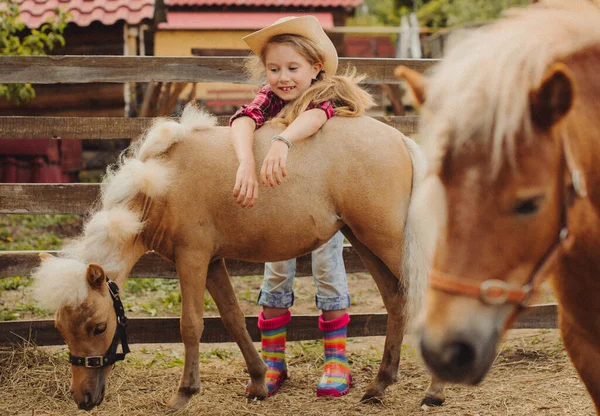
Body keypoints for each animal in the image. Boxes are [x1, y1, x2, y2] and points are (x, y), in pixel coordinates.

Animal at [31, 105, 446, 412]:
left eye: (99, 327)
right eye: (60, 328)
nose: (83, 398)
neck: (162, 184)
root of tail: (399, 138)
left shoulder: (192, 259)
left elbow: (191, 325)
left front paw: (185, 393)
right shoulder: (213, 263)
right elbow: (233, 319)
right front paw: (260, 381)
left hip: (384, 240)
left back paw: (434, 390)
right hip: (363, 240)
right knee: (396, 300)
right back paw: (380, 384)